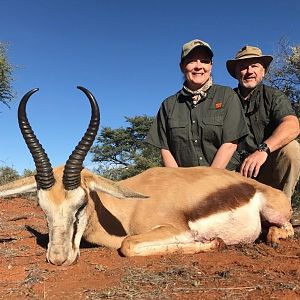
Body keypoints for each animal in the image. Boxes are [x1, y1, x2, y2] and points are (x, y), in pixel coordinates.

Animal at [0, 86, 296, 264]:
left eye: (81, 204)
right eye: (42, 207)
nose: (58, 259)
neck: (125, 209)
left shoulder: (175, 230)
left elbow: (128, 245)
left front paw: (215, 243)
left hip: (276, 212)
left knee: (287, 228)